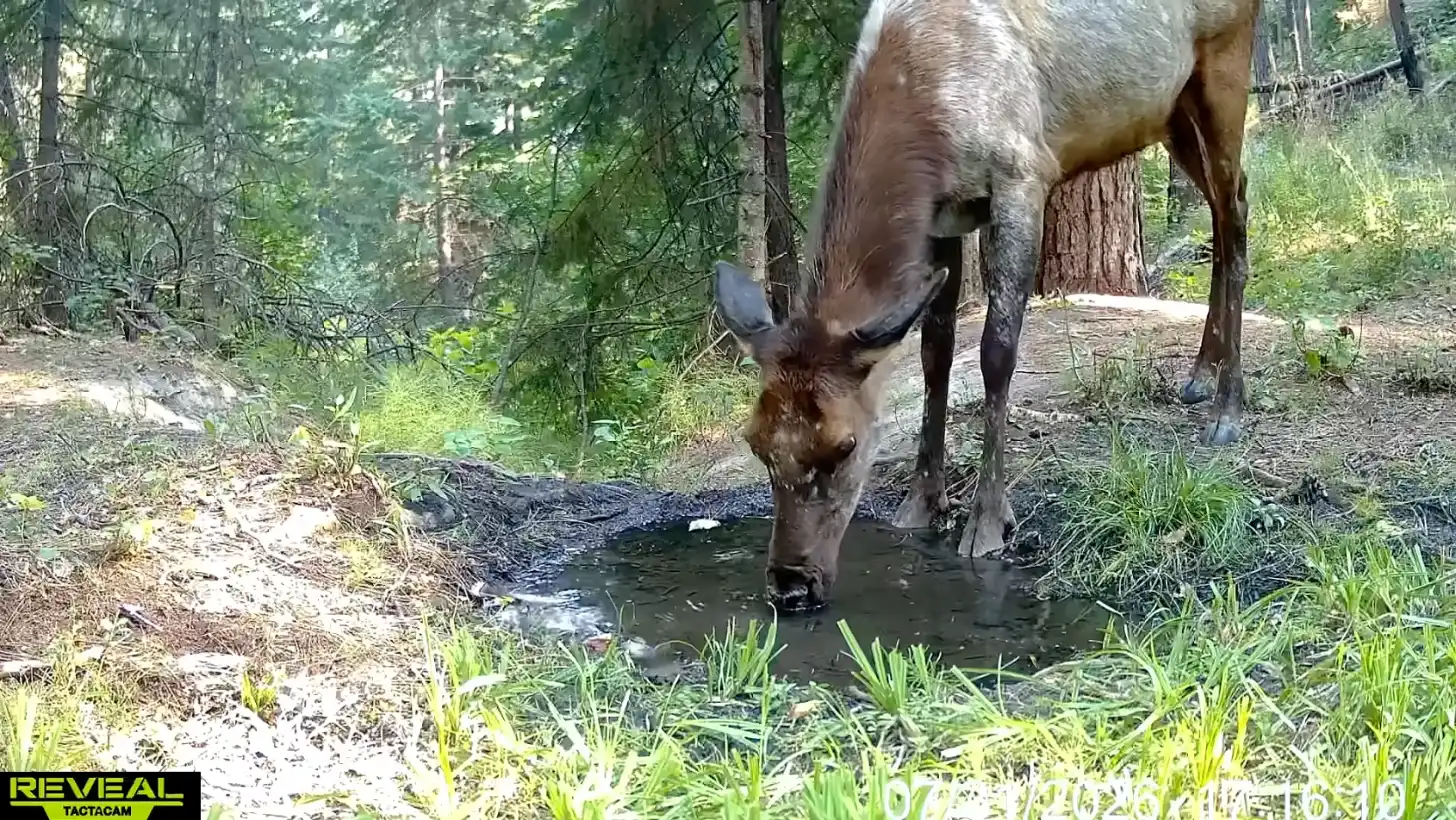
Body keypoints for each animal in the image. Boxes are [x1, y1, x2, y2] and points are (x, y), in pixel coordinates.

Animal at [711, 0, 1263, 611]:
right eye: (755, 442)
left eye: (845, 444)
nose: (790, 584)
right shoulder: (942, 215)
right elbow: (935, 352)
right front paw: (921, 502)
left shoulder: (1023, 173)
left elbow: (997, 352)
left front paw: (988, 522)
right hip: (1170, 112)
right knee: (1221, 210)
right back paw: (1200, 373)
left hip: (1224, 65)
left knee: (1237, 208)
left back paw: (1228, 408)